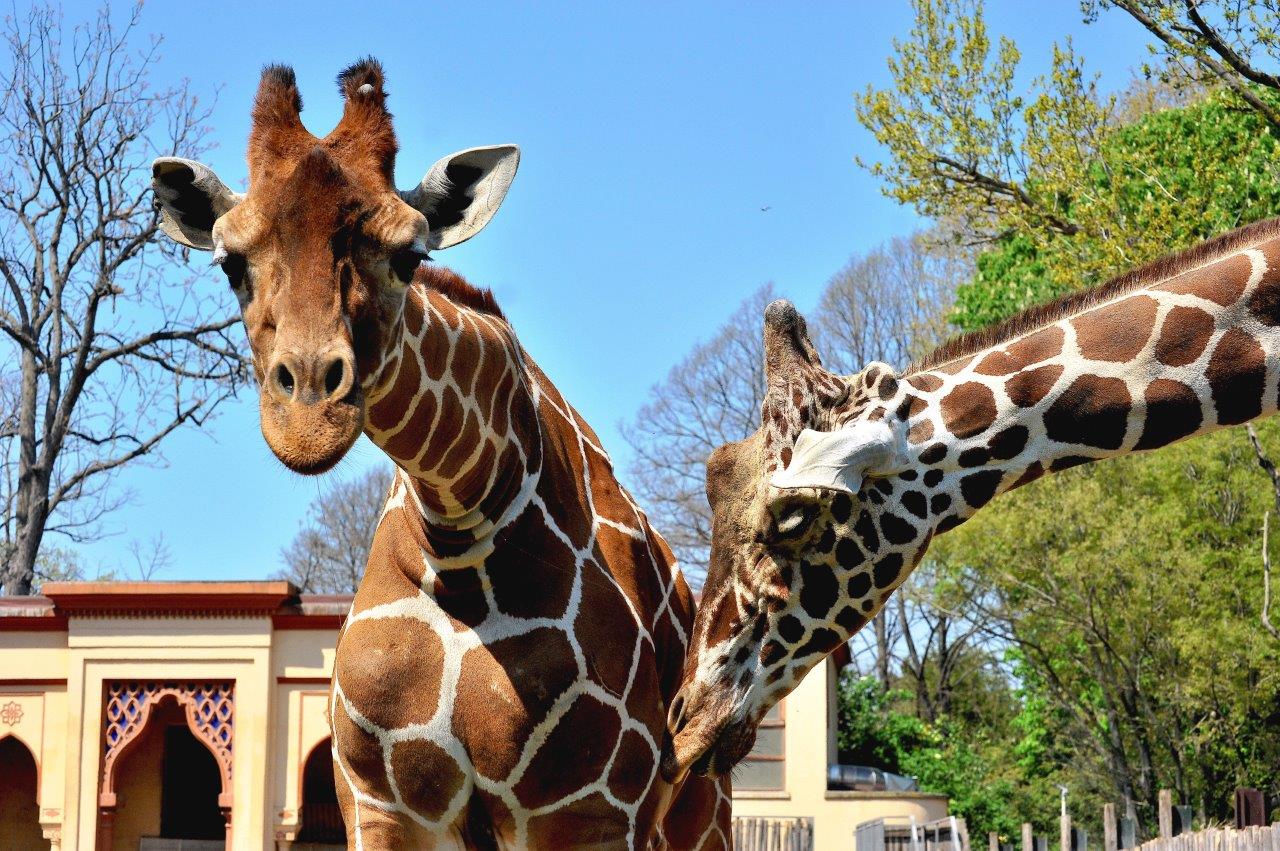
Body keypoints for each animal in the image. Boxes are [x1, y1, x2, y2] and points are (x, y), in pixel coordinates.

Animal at [149, 60, 730, 849]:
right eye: (229, 264)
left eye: (410, 254)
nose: (308, 417)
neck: (463, 540)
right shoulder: (382, 804)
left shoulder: (590, 812)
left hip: (702, 814)